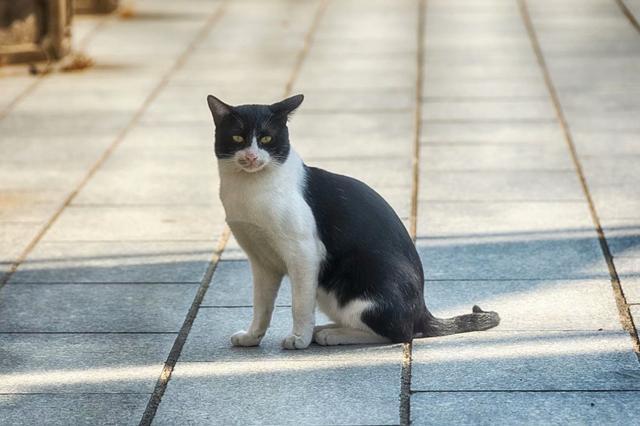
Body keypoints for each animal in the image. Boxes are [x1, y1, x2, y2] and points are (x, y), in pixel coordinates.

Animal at [206, 93, 500, 350]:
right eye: (237, 137)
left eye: (267, 138)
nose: (252, 156)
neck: (248, 191)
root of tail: (422, 312)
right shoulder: (261, 261)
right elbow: (261, 305)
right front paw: (252, 337)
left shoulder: (303, 252)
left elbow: (300, 304)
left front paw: (298, 338)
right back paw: (326, 329)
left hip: (357, 279)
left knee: (401, 333)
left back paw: (329, 335)